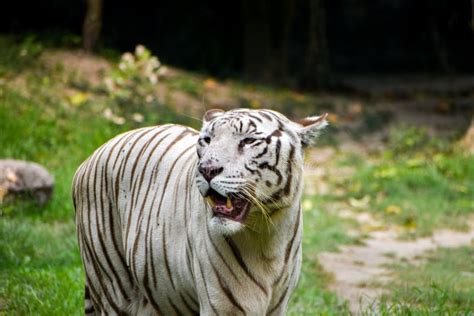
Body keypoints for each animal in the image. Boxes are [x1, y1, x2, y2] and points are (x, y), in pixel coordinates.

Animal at [73, 108, 326, 314]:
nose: (207, 169)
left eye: (248, 141)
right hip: (113, 288)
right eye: (207, 140)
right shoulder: (223, 305)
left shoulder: (278, 305)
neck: (267, 234)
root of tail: (89, 158)